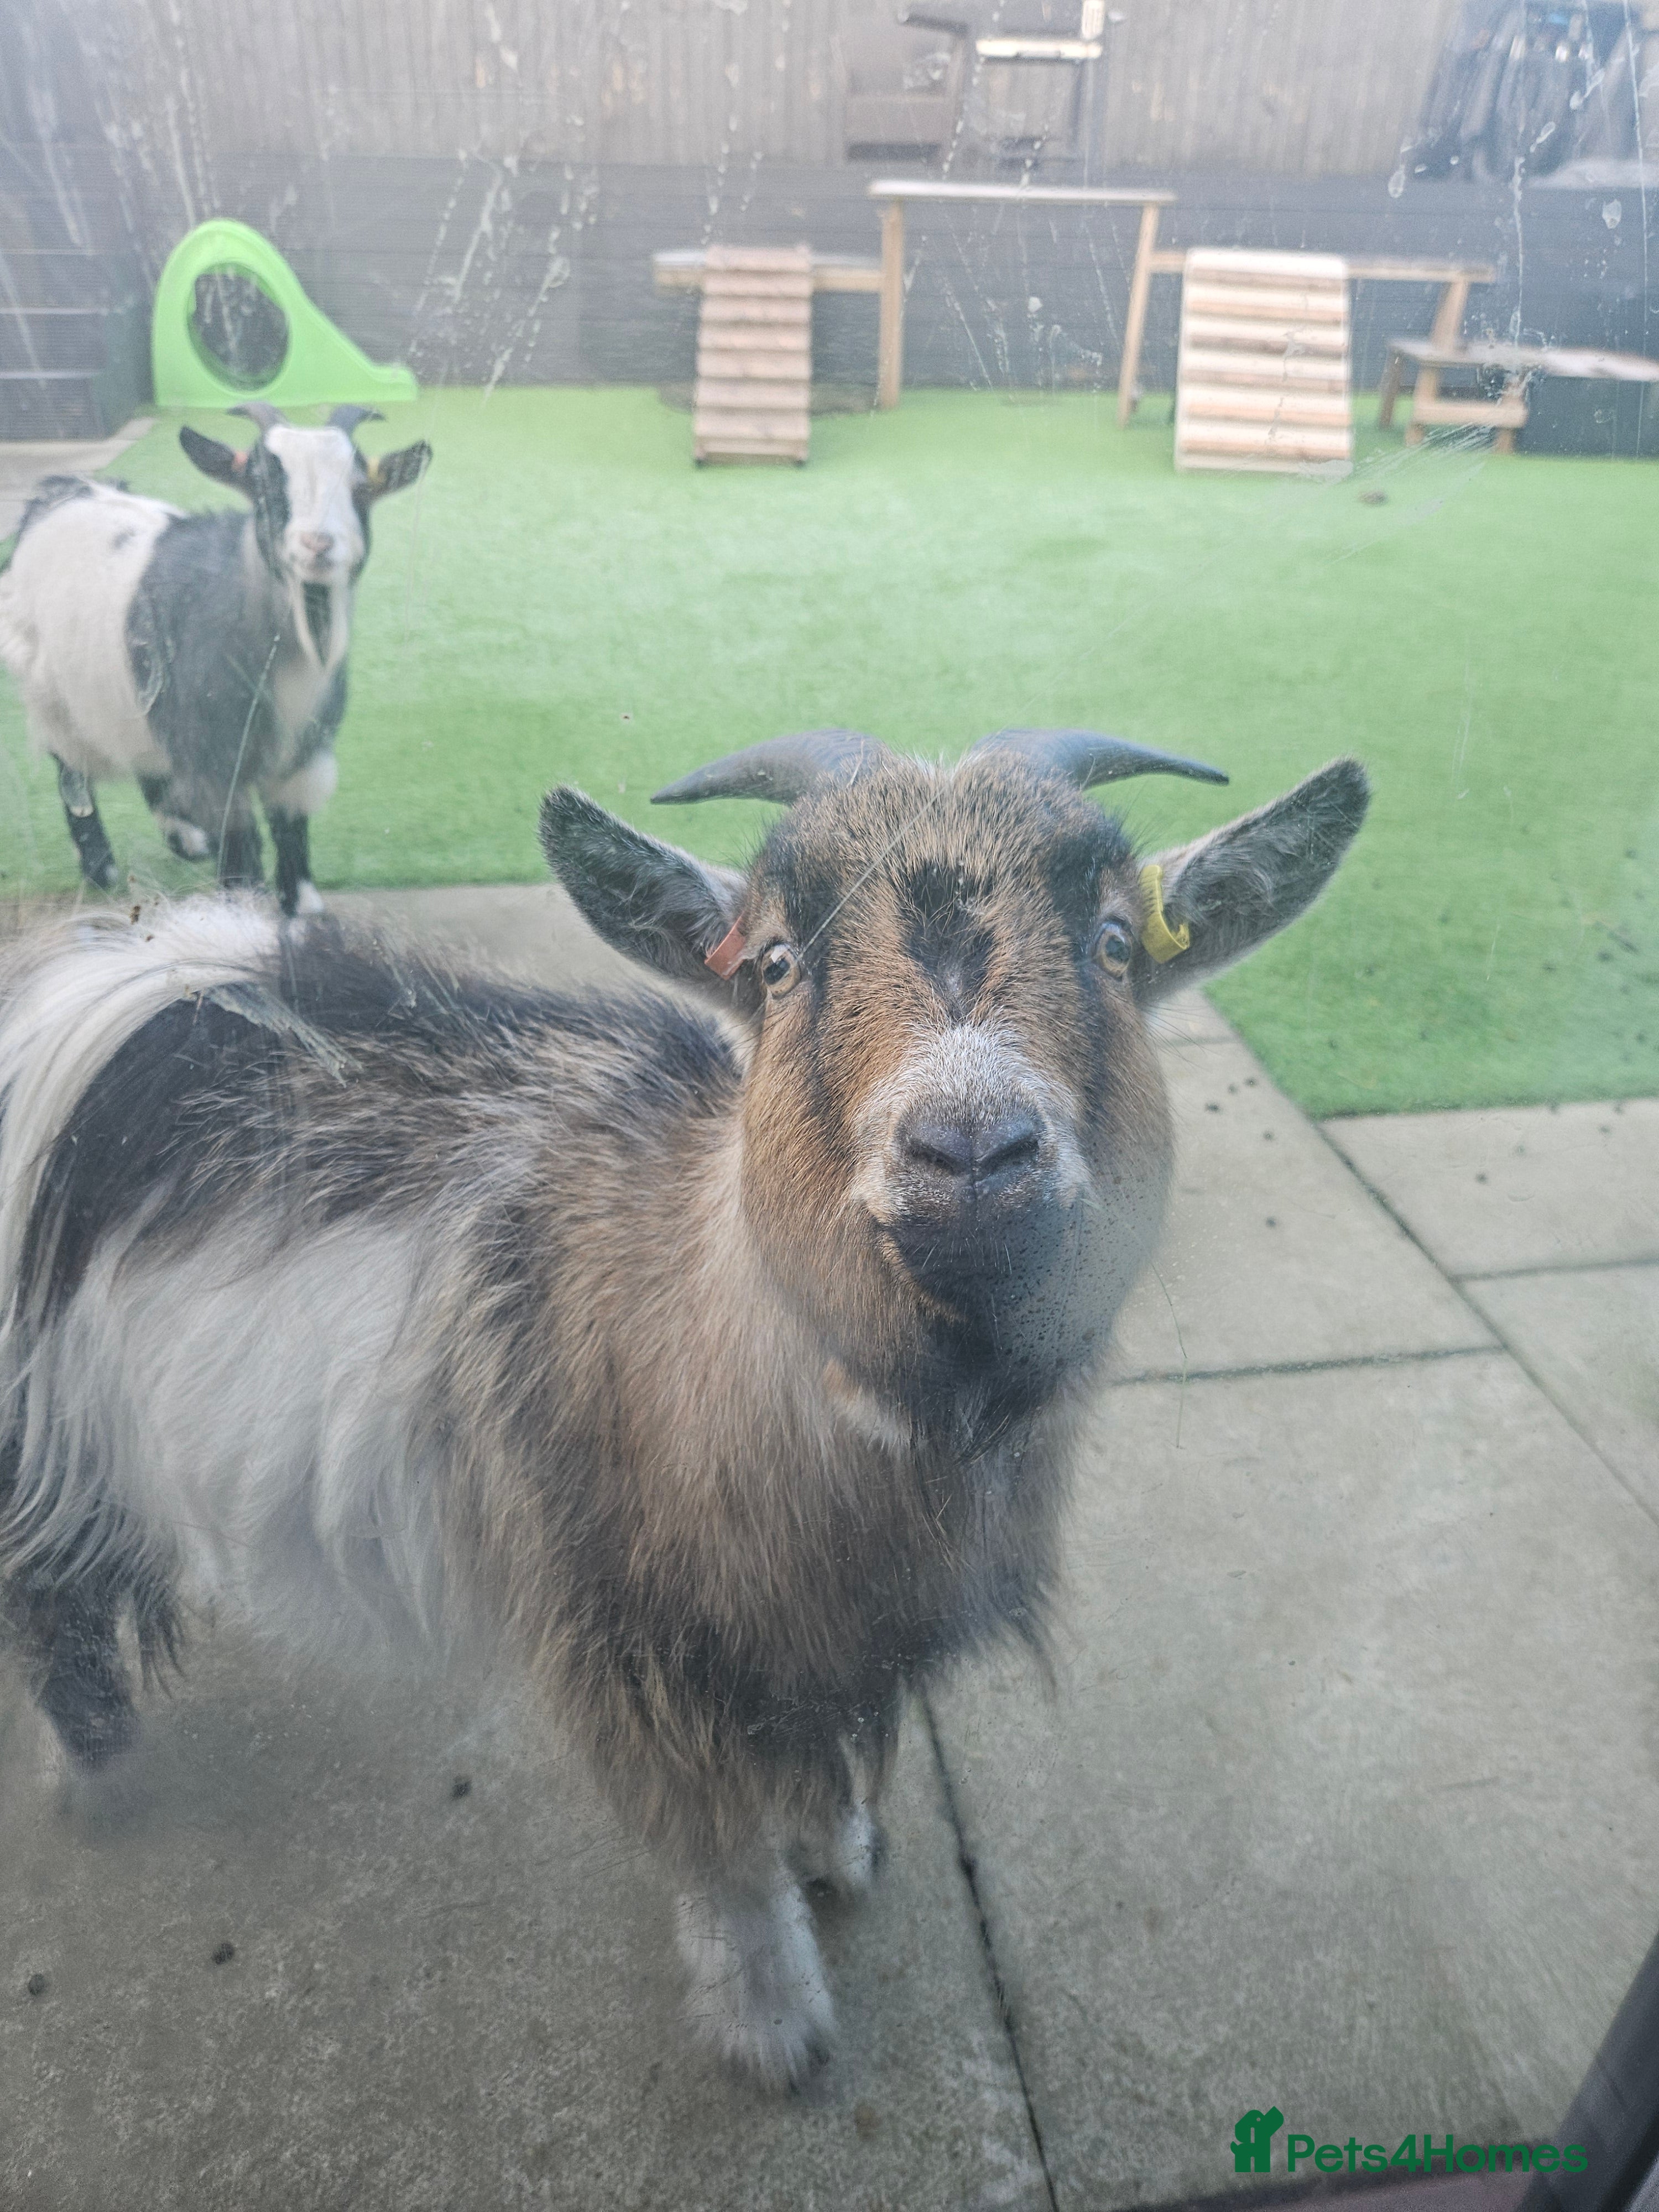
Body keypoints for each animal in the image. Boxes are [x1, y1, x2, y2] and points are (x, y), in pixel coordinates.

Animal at [0, 403, 430, 916]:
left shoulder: (302, 757)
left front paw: (304, 909)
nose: (318, 544)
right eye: (262, 483)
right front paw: (241, 916)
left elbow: (292, 832)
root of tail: (61, 490)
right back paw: (101, 869)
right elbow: (242, 855)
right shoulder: (215, 762)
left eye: (361, 488)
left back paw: (187, 841)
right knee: (72, 775)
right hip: (51, 694)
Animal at [0, 728, 1367, 2089]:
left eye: (1117, 942)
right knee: (53, 1599)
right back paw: (99, 1774)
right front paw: (773, 2024)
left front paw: (840, 1849)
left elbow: (815, 1761)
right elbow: (720, 1854)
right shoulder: (624, 1629)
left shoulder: (815, 1646)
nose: (973, 1152)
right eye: (775, 961)